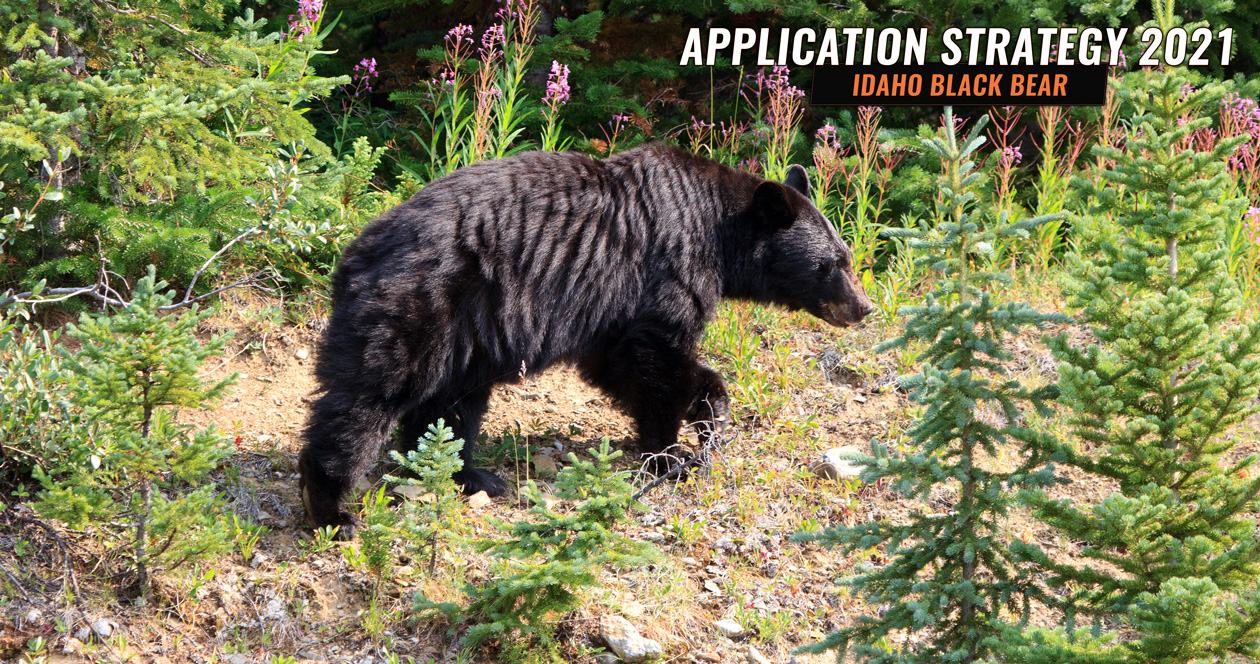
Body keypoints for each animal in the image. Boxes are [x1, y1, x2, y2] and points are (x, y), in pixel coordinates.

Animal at [299, 143, 873, 538]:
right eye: (831, 265)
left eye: (847, 256)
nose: (864, 308)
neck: (715, 227)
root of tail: (356, 254)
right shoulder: (666, 272)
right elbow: (658, 358)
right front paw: (668, 455)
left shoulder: (612, 313)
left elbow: (620, 363)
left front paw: (711, 408)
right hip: (420, 305)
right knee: (366, 398)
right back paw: (334, 509)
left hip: (466, 337)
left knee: (449, 405)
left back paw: (469, 474)